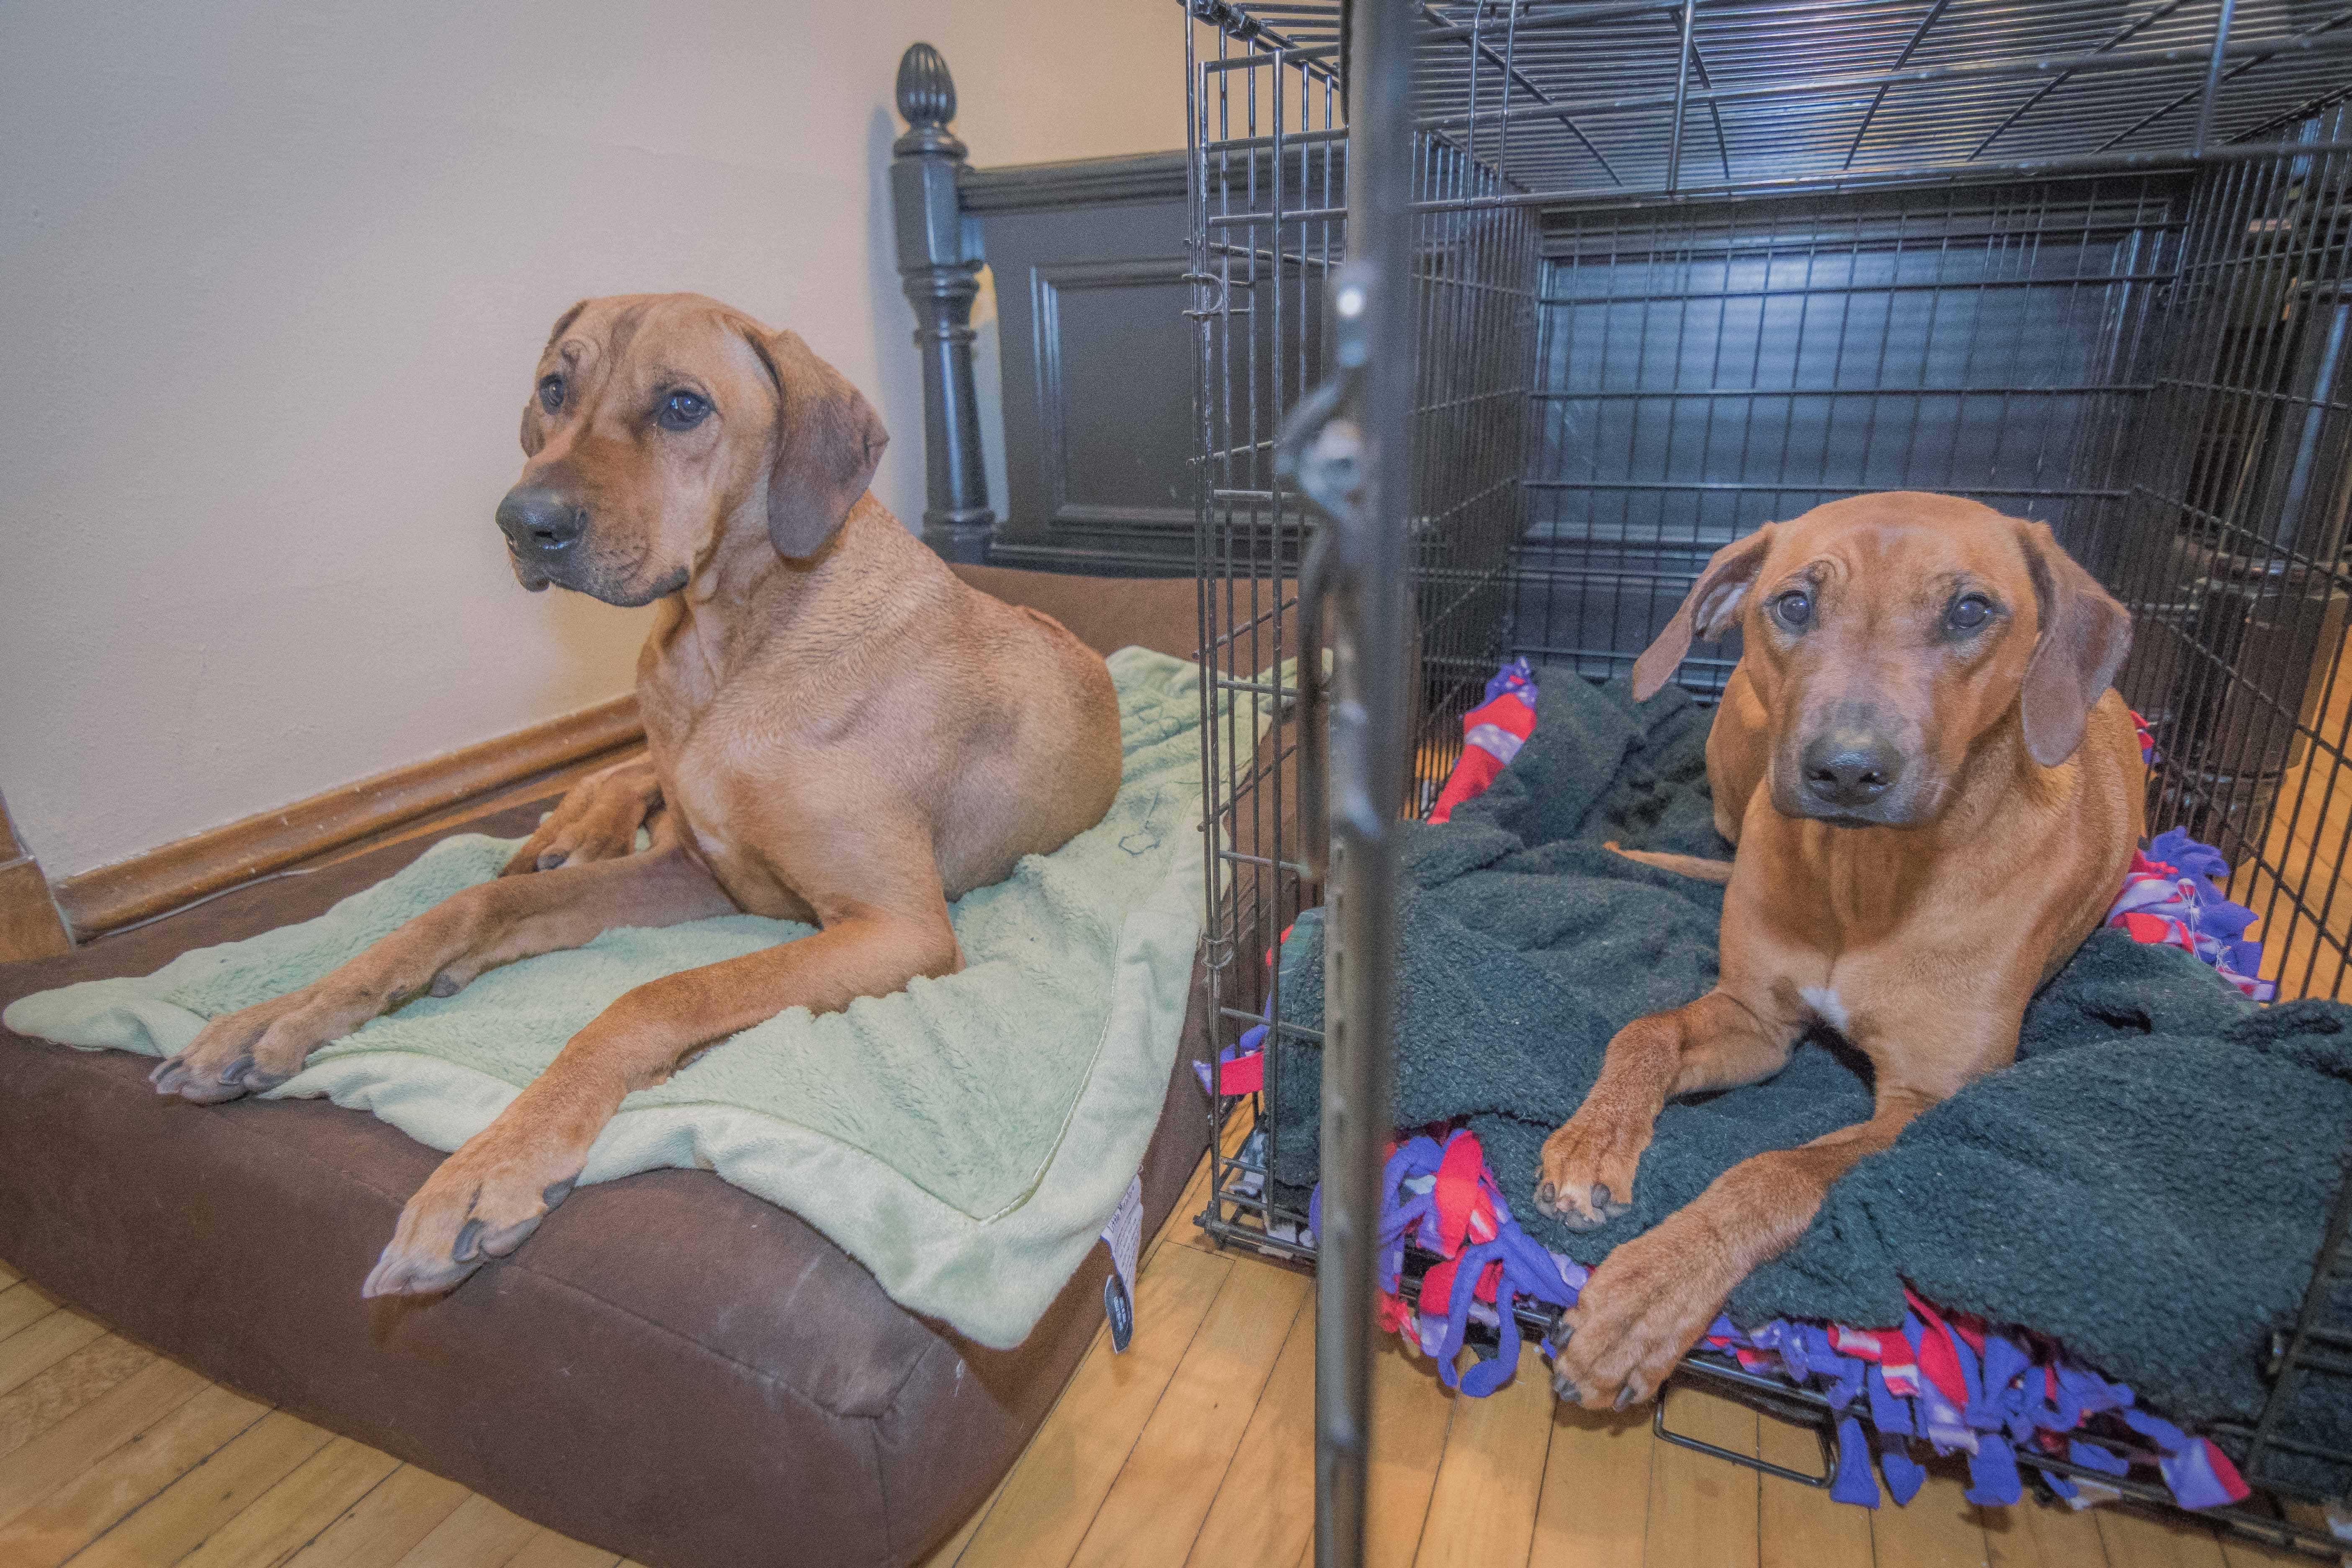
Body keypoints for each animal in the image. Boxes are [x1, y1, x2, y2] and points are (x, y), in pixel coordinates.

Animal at [147, 297, 1119, 1298]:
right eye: (552, 388)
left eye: (684, 405)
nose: (522, 521)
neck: (730, 643)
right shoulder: (696, 867)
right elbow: (472, 904)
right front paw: (280, 1016)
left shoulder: (895, 928)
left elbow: (660, 994)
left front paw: (494, 1165)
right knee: (623, 778)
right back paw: (577, 821)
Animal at [1524, 491, 2154, 1410]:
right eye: (1794, 604)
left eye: (1971, 612)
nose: (1847, 771)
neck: (1863, 879)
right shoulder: (1756, 1019)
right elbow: (1646, 1031)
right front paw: (1593, 1141)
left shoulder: (1926, 1102)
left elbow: (1776, 1174)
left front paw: (1646, 1293)